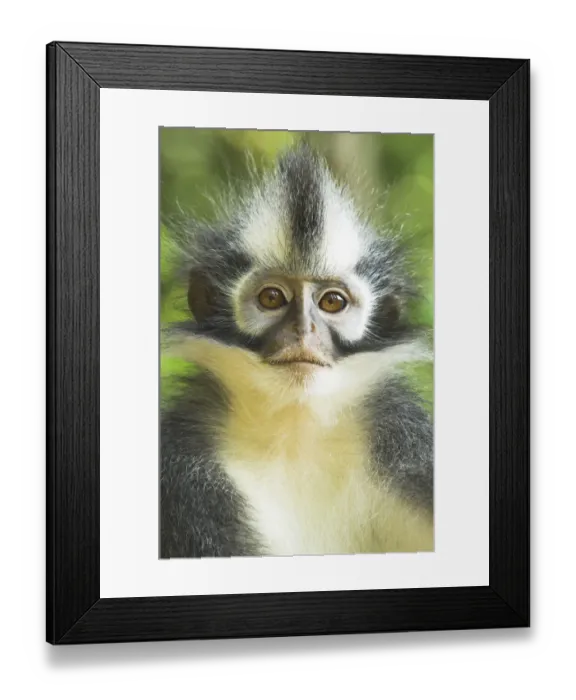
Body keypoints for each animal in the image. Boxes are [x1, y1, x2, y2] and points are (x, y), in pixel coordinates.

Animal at [159, 142, 434, 559]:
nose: (304, 331)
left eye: (332, 302)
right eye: (272, 298)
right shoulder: (185, 474)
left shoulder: (405, 446)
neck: (294, 434)